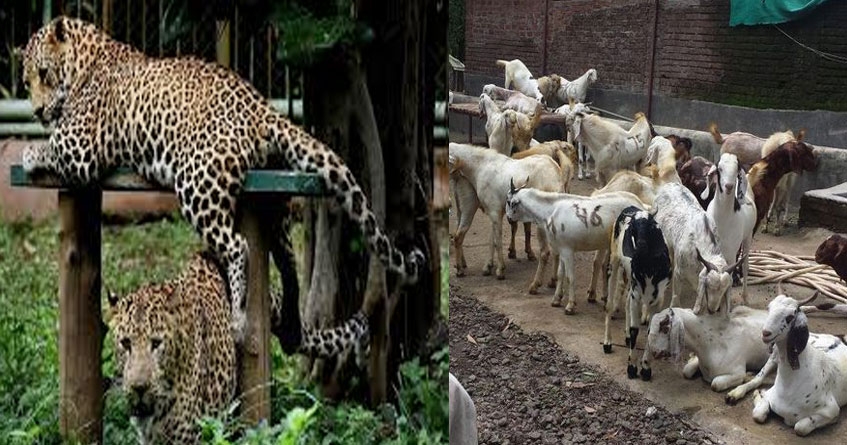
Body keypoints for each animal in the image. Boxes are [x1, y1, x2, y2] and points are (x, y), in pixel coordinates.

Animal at [21, 16, 425, 341]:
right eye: (25, 82)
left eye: (44, 73)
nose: (37, 111)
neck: (85, 60)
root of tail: (263, 108)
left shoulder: (81, 148)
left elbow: (52, 144)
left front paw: (29, 153)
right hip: (274, 200)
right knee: (288, 260)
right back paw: (291, 321)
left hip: (196, 184)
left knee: (239, 246)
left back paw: (239, 317)